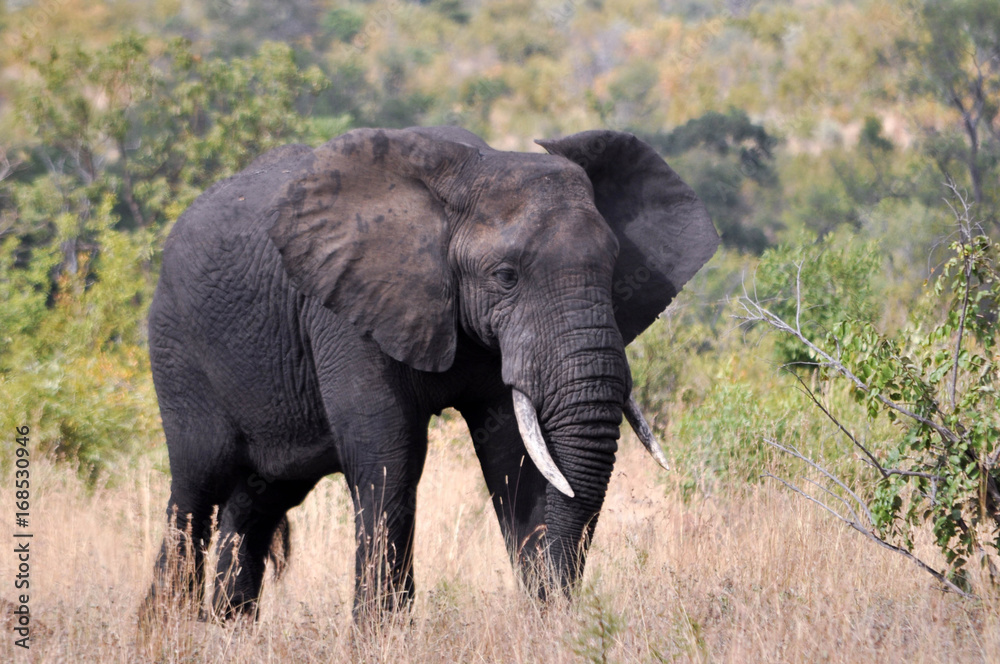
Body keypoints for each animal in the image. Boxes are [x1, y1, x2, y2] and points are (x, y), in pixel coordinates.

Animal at [142, 125, 719, 622]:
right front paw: (382, 637)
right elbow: (388, 454)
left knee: (258, 502)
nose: (561, 607)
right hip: (176, 343)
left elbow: (517, 458)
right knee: (197, 485)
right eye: (505, 276)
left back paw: (226, 630)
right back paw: (168, 630)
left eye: (614, 267)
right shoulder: (347, 306)